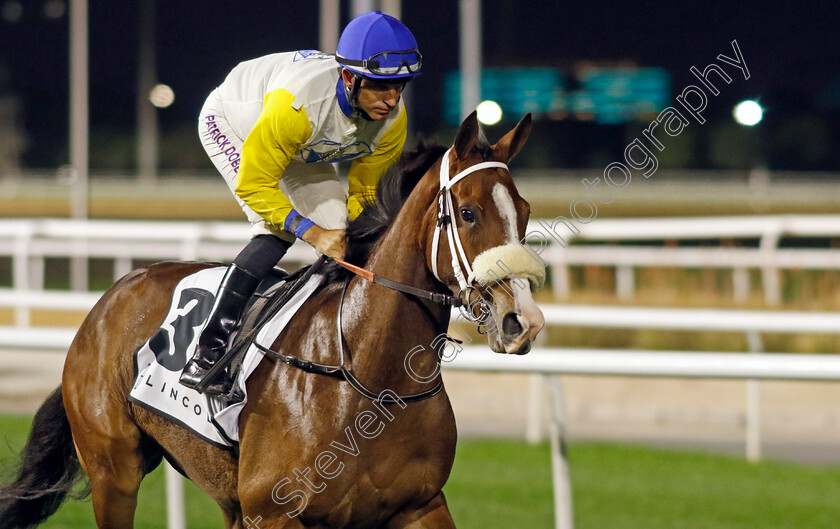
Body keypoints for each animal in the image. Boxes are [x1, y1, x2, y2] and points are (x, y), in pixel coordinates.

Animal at [0, 110, 544, 524]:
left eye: (523, 210)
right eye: (469, 213)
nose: (523, 321)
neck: (369, 374)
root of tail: (110, 296)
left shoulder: (421, 504)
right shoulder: (274, 510)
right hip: (114, 470)